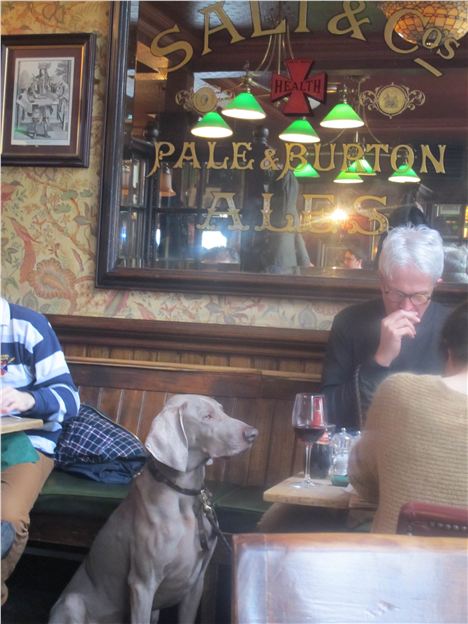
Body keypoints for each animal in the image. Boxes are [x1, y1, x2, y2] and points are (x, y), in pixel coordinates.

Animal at [49, 394, 258, 624]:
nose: (253, 433)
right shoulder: (142, 584)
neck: (183, 494)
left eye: (223, 411)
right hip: (72, 603)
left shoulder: (196, 583)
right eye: (207, 417)